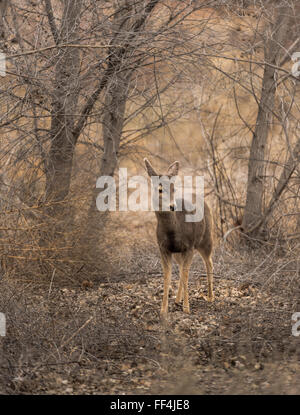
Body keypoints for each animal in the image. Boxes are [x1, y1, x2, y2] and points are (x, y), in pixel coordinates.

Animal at [145, 158, 213, 320]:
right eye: (160, 189)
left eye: (174, 188)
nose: (172, 206)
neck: (173, 231)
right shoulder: (163, 248)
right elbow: (167, 276)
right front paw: (163, 311)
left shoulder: (189, 246)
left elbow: (186, 275)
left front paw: (187, 308)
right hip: (179, 253)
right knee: (182, 268)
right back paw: (177, 299)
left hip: (205, 239)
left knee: (209, 263)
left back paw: (210, 296)